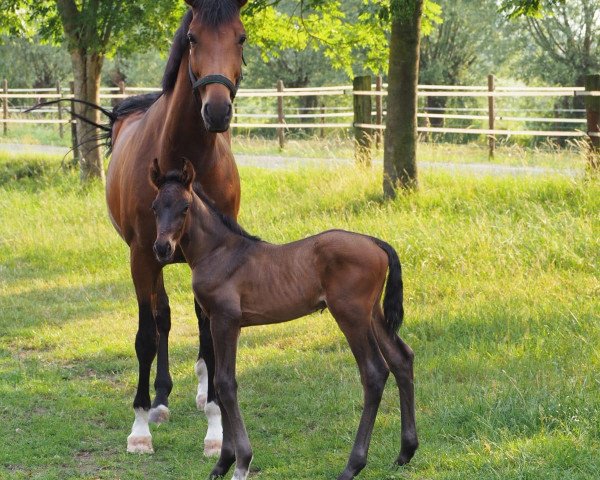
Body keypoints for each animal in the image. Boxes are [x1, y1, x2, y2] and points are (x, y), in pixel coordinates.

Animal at [105, 0, 248, 454]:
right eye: (192, 37)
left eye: (241, 36)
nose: (216, 111)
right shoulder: (143, 256)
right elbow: (147, 335)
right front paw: (139, 428)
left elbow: (211, 337)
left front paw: (217, 430)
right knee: (162, 316)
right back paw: (161, 400)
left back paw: (203, 394)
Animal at [149, 160, 418, 480]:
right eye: (155, 206)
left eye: (185, 207)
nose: (162, 248)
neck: (218, 253)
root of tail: (375, 242)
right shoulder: (215, 321)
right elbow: (218, 382)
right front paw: (223, 462)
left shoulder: (225, 321)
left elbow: (225, 383)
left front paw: (241, 461)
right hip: (373, 313)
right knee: (402, 358)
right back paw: (405, 452)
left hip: (351, 315)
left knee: (374, 372)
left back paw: (352, 465)